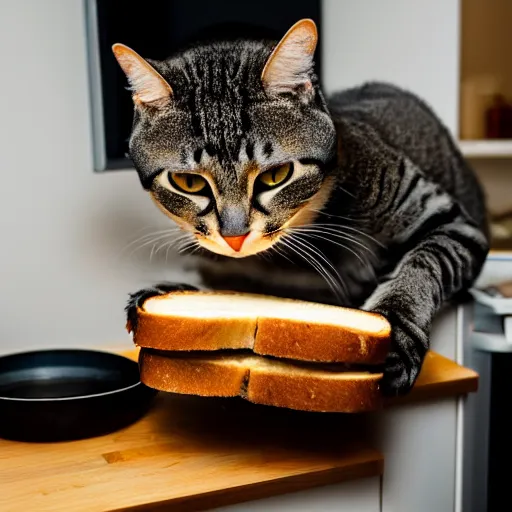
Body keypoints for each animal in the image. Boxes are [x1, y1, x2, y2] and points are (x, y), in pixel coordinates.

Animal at [114, 18, 490, 394]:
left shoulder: (450, 221)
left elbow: (419, 268)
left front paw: (394, 330)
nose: (234, 238)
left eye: (276, 176)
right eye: (188, 182)